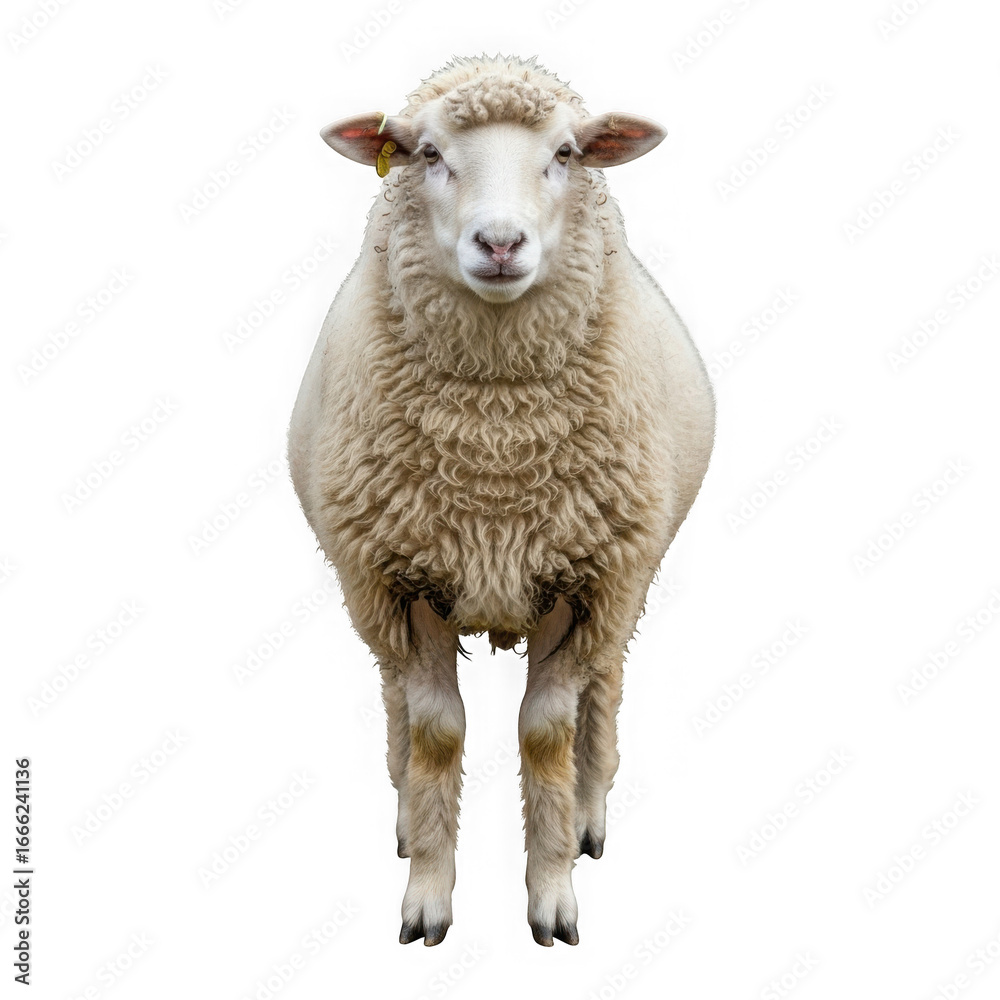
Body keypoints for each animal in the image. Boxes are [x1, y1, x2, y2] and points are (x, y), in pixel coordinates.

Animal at [288, 54, 715, 947]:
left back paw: (589, 815)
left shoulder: (587, 581)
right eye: (425, 154)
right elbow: (435, 734)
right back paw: (405, 815)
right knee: (395, 702)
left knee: (602, 696)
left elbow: (547, 733)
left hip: (628, 578)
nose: (500, 242)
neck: (496, 451)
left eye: (565, 154)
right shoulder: (400, 578)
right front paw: (427, 893)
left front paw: (552, 897)